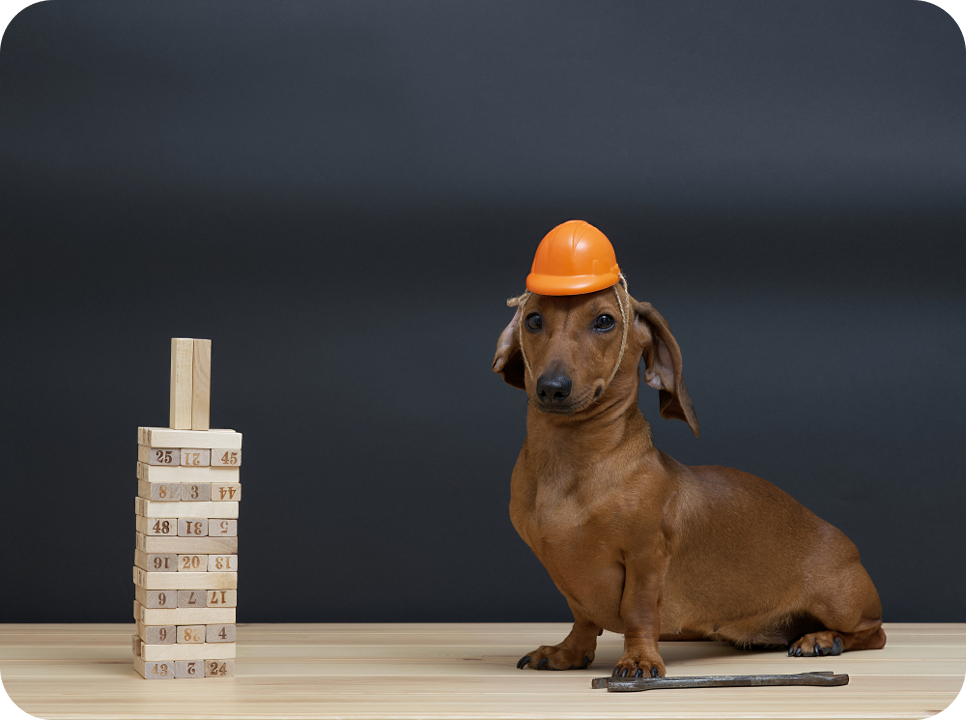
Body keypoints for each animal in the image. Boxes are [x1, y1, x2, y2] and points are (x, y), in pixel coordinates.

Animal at [496, 280, 888, 676]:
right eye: (533, 320)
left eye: (605, 321)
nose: (551, 387)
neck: (570, 464)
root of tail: (848, 545)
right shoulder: (567, 576)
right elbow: (583, 618)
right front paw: (568, 651)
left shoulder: (646, 558)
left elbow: (638, 612)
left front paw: (639, 658)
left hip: (839, 602)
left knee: (873, 633)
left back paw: (821, 639)